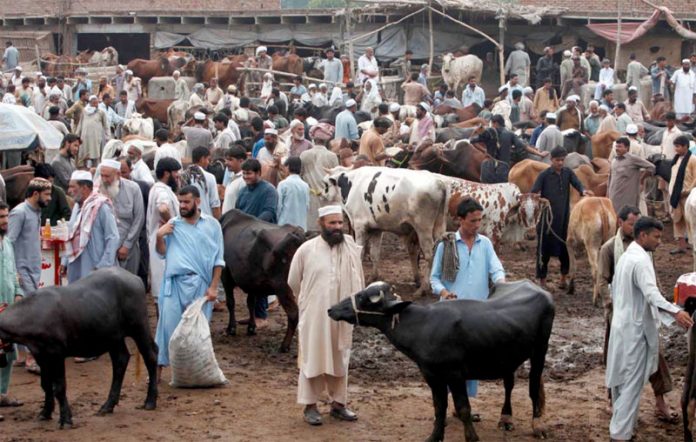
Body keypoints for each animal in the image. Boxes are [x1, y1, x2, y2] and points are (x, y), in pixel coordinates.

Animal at [0, 268, 158, 426]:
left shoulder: (56, 354)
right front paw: (45, 413)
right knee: (121, 360)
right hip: (113, 337)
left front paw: (65, 419)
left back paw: (150, 401)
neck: (32, 315)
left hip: (139, 326)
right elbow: (46, 384)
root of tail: (135, 278)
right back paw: (108, 405)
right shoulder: (41, 355)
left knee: (151, 356)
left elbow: (59, 387)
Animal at [220, 210, 308, 352]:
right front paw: (251, 327)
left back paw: (284, 346)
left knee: (294, 314)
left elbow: (231, 302)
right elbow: (250, 303)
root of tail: (299, 234)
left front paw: (231, 328)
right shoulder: (251, 282)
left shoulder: (225, 275)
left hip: (283, 287)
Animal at [322, 167, 448, 296]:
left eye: (325, 184)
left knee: (430, 256)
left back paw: (422, 288)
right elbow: (374, 254)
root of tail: (439, 182)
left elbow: (359, 253)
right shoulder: (376, 229)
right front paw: (373, 277)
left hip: (423, 229)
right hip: (439, 226)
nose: (322, 195)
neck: (351, 183)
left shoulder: (359, 227)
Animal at [328, 282, 556, 440]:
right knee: (509, 384)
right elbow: (439, 407)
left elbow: (464, 409)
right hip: (507, 356)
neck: (423, 326)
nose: (331, 309)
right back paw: (506, 418)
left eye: (362, 297)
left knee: (533, 386)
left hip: (540, 350)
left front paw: (472, 437)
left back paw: (538, 426)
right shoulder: (431, 375)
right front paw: (434, 437)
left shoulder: (455, 375)